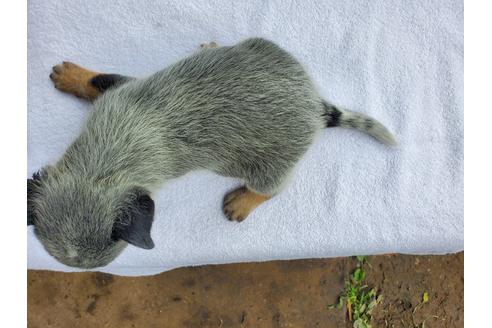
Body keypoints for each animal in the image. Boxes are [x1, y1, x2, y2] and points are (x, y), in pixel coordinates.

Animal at [26, 39, 396, 270]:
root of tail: (317, 109)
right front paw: (71, 76)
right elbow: (97, 81)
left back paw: (243, 201)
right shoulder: (120, 93)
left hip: (273, 165)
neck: (106, 164)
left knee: (272, 188)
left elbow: (100, 79)